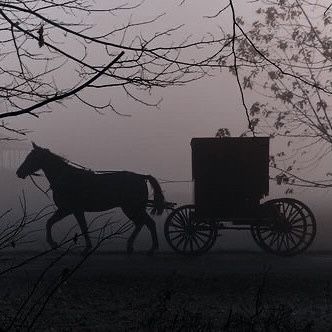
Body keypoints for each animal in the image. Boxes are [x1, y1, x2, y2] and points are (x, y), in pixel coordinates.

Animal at [16, 142, 165, 254]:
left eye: (31, 157)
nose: (19, 172)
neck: (65, 178)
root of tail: (141, 177)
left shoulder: (71, 210)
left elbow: (81, 227)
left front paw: (83, 246)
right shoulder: (66, 210)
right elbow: (51, 222)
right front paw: (54, 244)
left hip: (132, 208)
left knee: (146, 223)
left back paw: (147, 247)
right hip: (134, 208)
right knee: (144, 223)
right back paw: (137, 246)